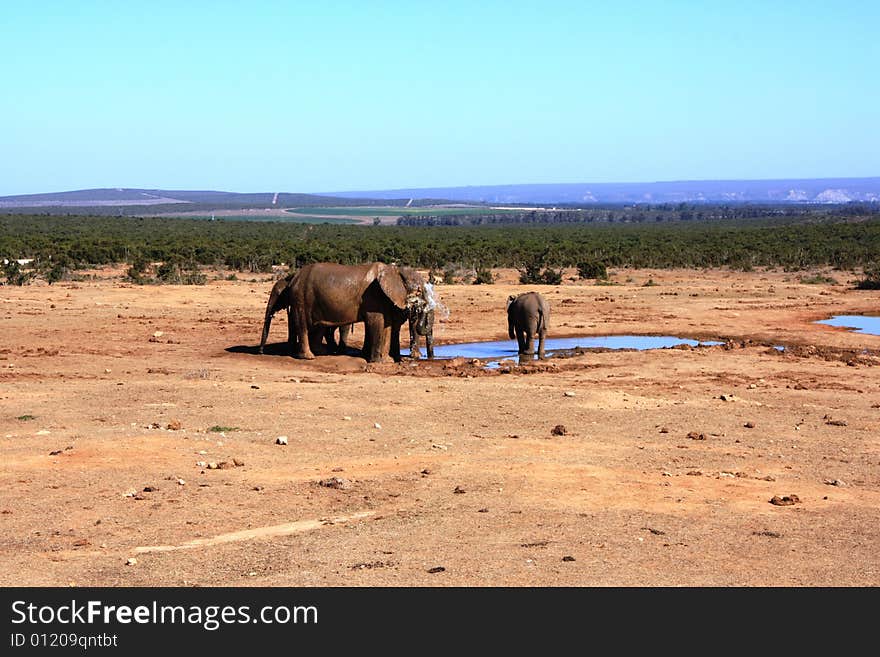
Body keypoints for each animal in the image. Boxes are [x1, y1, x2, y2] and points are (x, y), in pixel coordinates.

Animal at [286, 262, 430, 364]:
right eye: (419, 291)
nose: (418, 306)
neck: (395, 270)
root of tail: (294, 277)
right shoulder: (373, 297)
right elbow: (377, 323)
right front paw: (378, 362)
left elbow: (387, 326)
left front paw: (387, 361)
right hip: (300, 297)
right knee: (302, 325)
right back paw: (308, 357)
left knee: (318, 326)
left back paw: (319, 352)